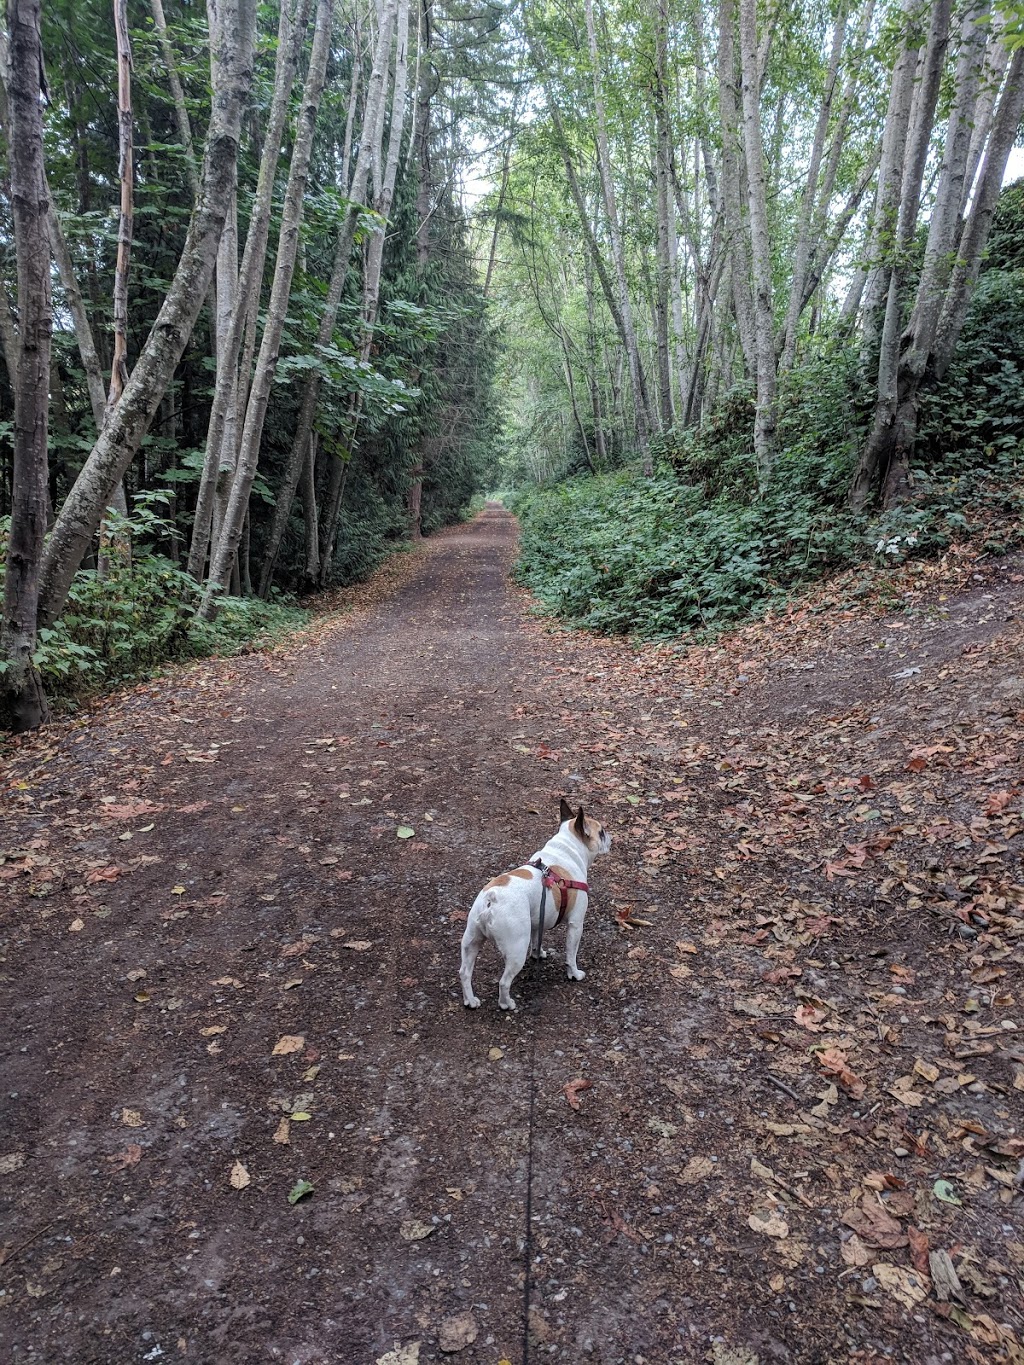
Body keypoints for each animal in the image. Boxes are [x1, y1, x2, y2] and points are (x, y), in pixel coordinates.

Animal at [461, 797, 614, 1015]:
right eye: (601, 832)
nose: (610, 838)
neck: (567, 848)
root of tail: (491, 899)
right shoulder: (576, 924)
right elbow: (571, 954)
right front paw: (574, 974)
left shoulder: (536, 922)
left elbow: (536, 940)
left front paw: (538, 954)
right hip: (516, 948)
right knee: (504, 982)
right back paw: (506, 1003)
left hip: (471, 940)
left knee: (464, 972)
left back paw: (470, 1000)